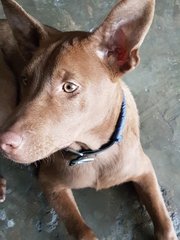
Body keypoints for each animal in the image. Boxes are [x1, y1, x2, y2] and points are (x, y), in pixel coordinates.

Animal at [0, 0, 177, 239]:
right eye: (26, 79)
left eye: (69, 87)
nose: (4, 143)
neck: (94, 153)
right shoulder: (50, 183)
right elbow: (81, 229)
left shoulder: (144, 169)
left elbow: (165, 221)